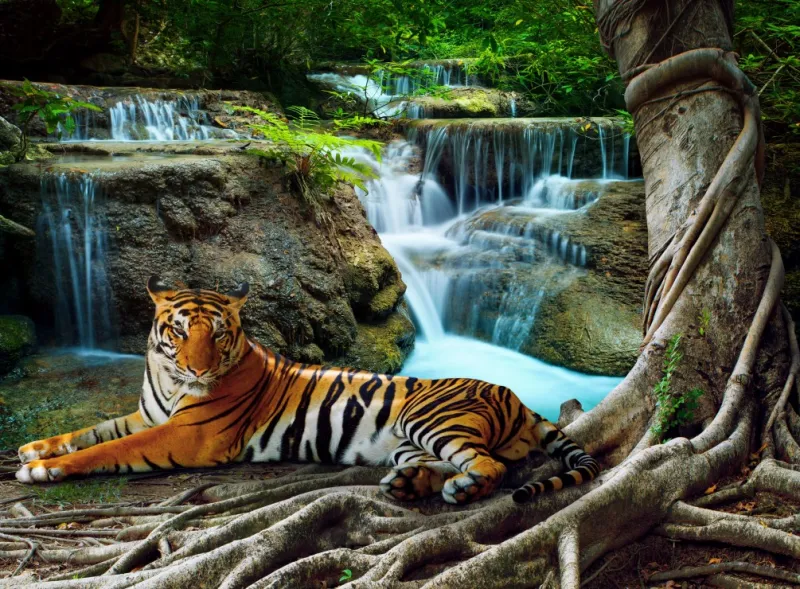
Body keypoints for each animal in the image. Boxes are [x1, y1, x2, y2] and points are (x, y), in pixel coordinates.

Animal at [16, 277, 600, 504]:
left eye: (218, 334)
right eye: (178, 331)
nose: (199, 369)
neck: (166, 377)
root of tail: (517, 397)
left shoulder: (185, 435)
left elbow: (108, 448)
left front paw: (44, 469)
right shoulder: (149, 416)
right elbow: (93, 430)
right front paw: (34, 449)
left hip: (430, 419)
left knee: (490, 467)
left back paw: (458, 489)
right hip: (409, 440)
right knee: (447, 464)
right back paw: (408, 484)